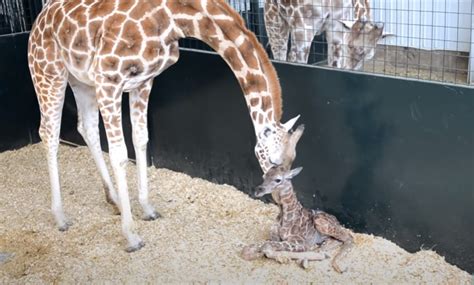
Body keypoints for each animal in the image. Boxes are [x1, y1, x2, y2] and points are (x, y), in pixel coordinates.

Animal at [27, 0, 300, 251]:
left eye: (292, 160)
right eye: (273, 161)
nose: (281, 197)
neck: (172, 19)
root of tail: (39, 19)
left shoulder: (143, 82)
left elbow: (140, 139)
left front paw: (147, 208)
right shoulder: (109, 79)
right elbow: (119, 154)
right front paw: (131, 236)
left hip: (81, 80)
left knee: (87, 128)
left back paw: (115, 200)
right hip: (49, 73)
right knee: (49, 132)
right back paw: (61, 217)